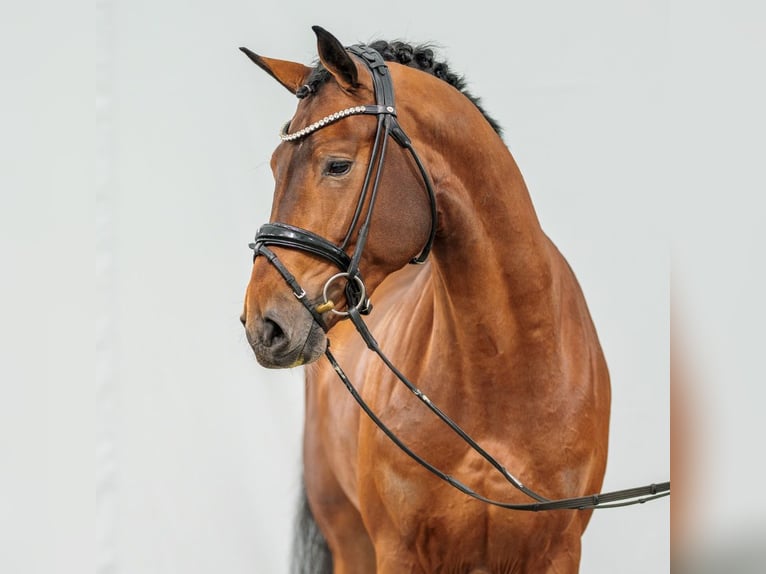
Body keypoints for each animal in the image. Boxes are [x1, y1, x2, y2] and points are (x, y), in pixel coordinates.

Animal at [243, 27, 616, 574]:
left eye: (337, 164)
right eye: (274, 166)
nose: (263, 324)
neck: (504, 373)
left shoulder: (558, 553)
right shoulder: (398, 551)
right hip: (348, 537)